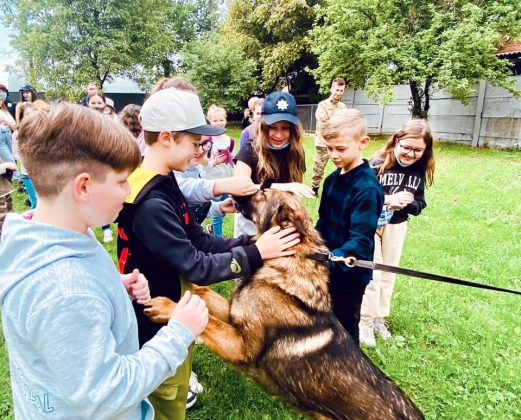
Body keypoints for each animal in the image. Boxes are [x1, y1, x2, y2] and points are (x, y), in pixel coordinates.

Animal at [143, 189, 422, 418]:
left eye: (263, 193)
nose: (236, 186)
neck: (284, 261)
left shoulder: (240, 347)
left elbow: (209, 322)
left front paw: (168, 307)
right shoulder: (233, 315)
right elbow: (202, 294)